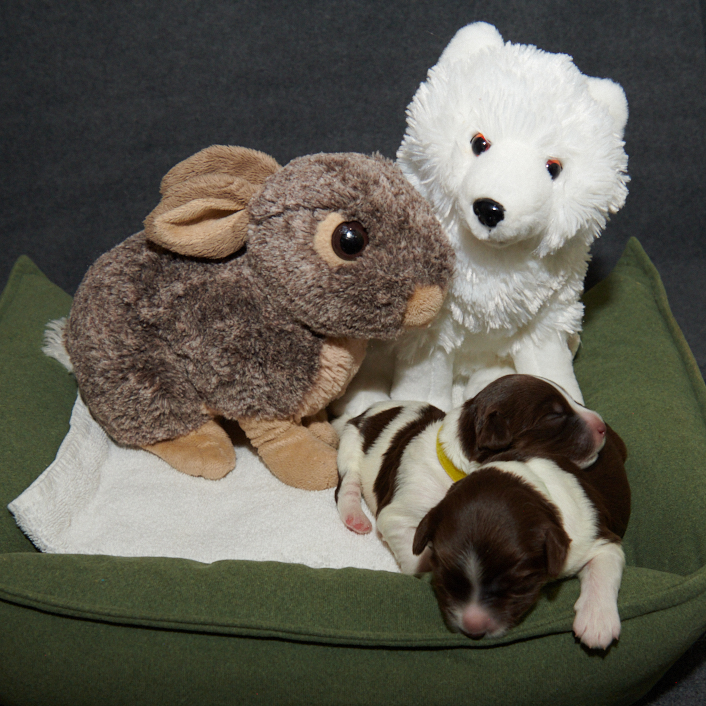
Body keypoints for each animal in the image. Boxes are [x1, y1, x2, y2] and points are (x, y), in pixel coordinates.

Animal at [332, 374, 628, 648]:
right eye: (554, 415)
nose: (603, 426)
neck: (458, 467)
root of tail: (364, 412)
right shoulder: (398, 513)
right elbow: (412, 550)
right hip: (350, 448)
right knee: (346, 486)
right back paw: (355, 517)